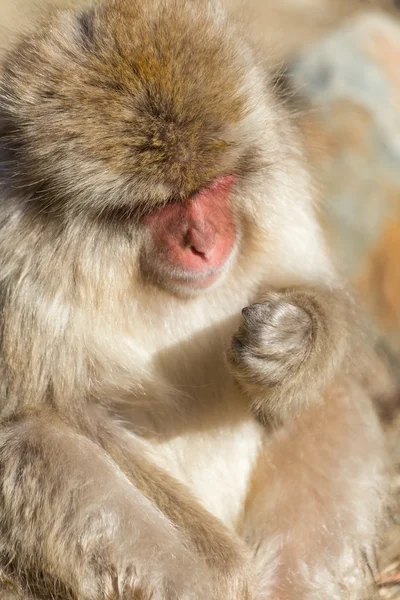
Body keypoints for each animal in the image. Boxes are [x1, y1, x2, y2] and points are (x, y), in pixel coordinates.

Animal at [0, 0, 390, 596]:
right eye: (162, 205)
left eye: (213, 186)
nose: (204, 244)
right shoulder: (16, 257)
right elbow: (57, 409)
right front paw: (222, 566)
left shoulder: (281, 177)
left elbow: (314, 285)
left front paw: (292, 341)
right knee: (34, 441)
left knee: (336, 397)